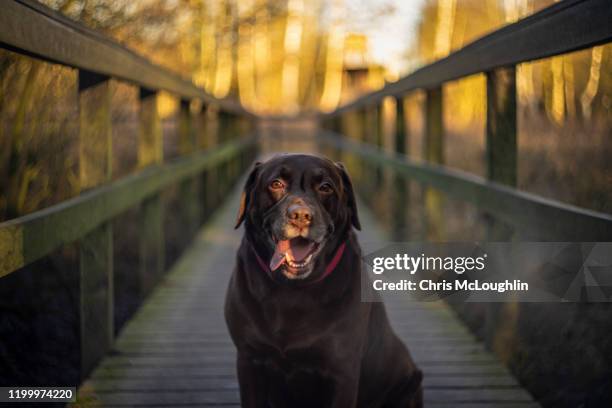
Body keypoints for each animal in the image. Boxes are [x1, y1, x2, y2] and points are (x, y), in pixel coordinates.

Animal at [224, 155, 420, 406]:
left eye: (325, 187)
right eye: (276, 183)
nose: (301, 216)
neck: (291, 290)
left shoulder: (342, 371)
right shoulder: (249, 361)